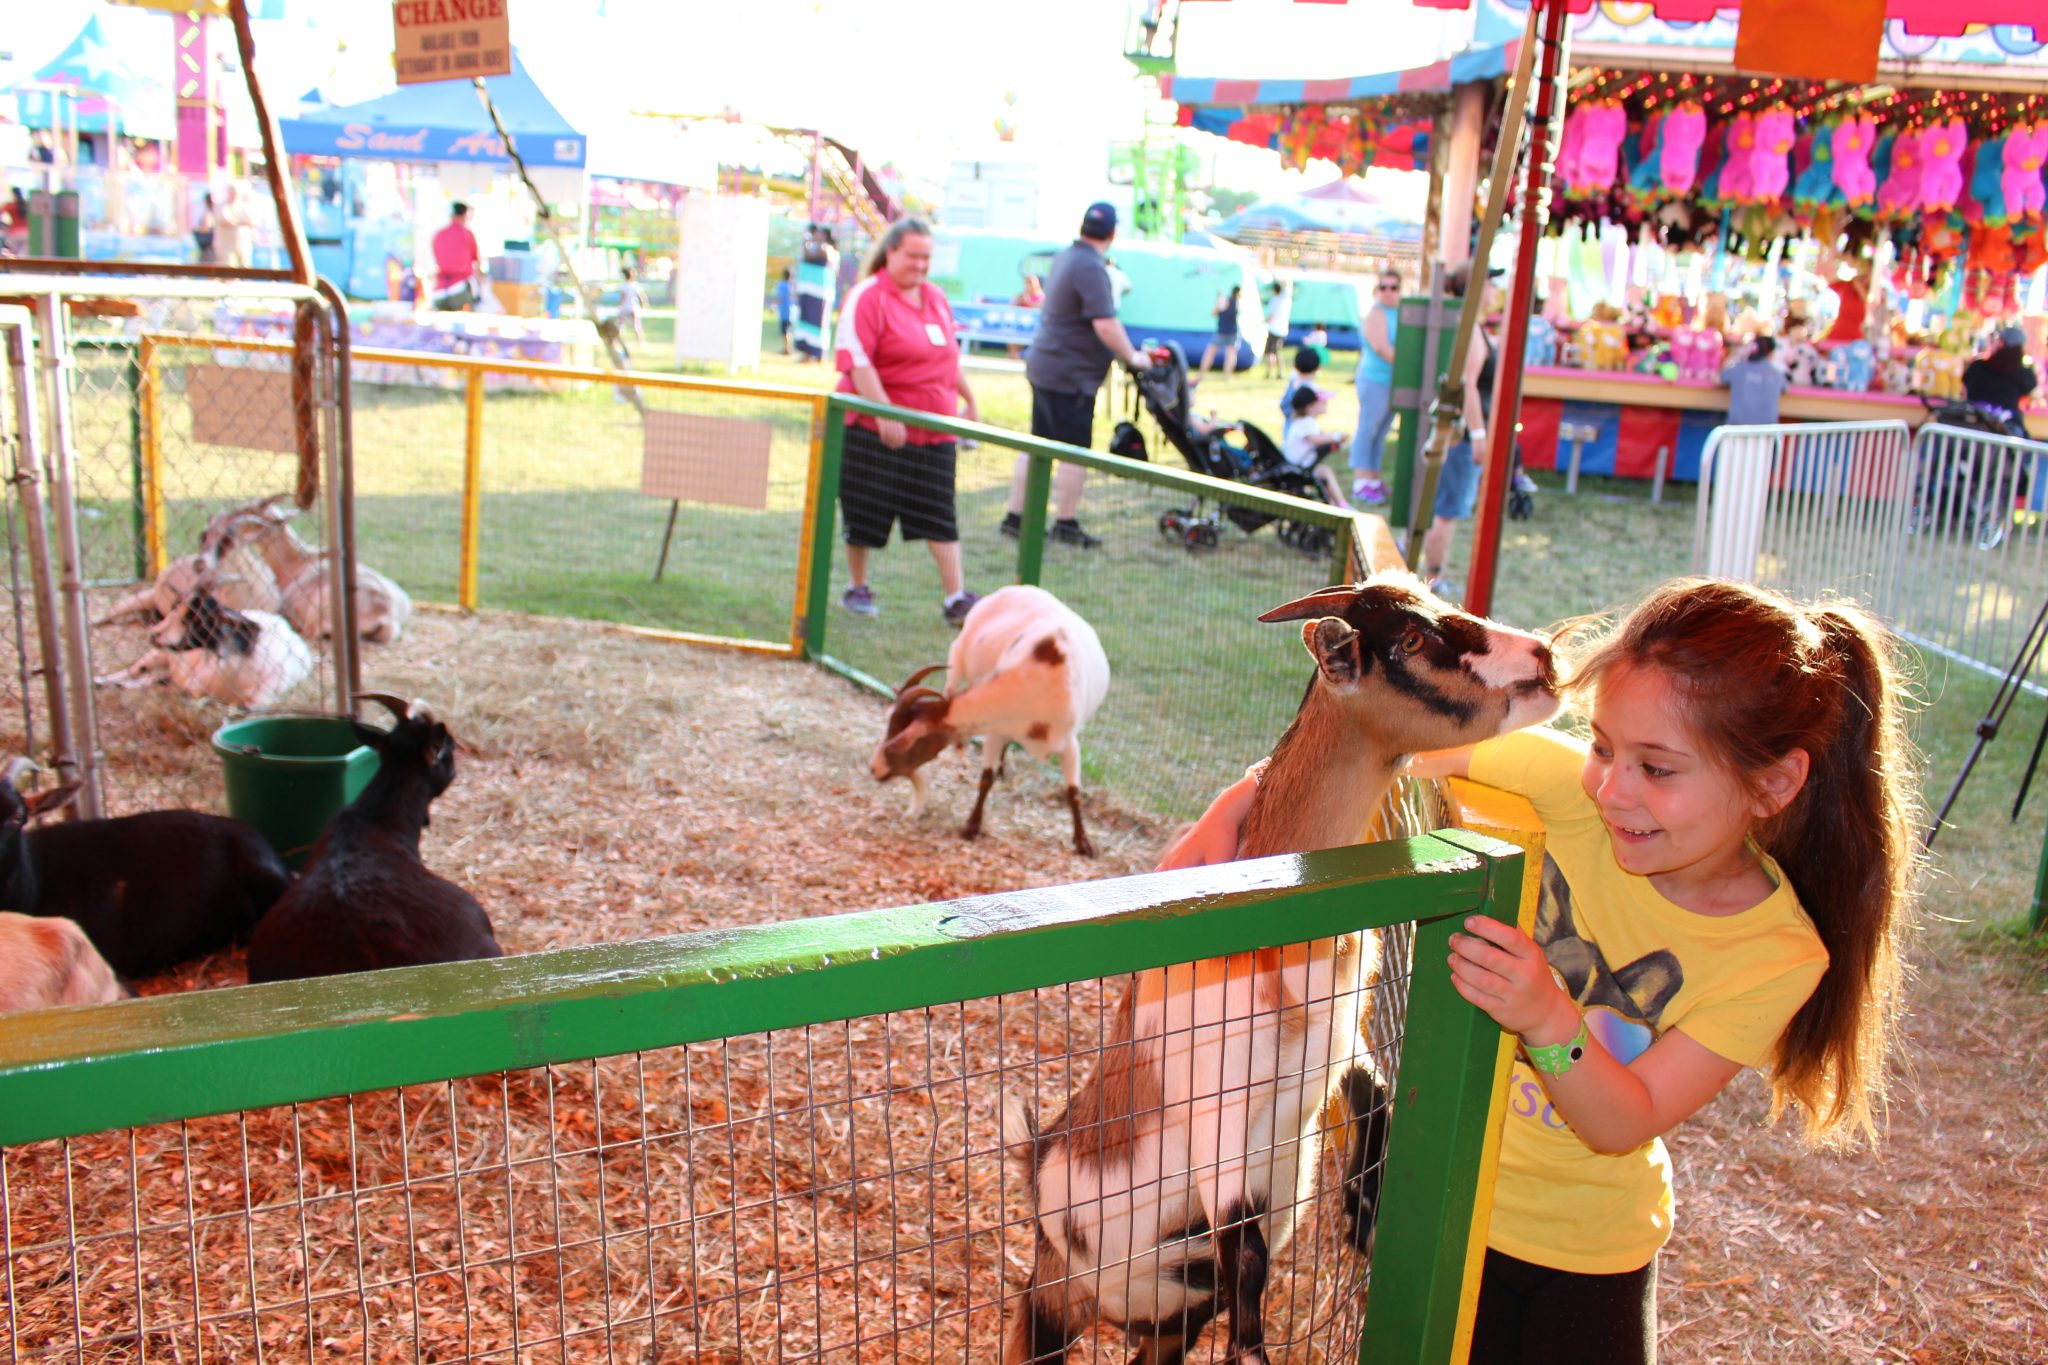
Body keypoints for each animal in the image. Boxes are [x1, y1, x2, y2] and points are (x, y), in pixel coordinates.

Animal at [94, 585, 313, 712]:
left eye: (197, 620)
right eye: (174, 609)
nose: (154, 634)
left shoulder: (258, 702)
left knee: (145, 679)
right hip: (159, 656)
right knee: (134, 671)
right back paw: (99, 681)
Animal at [872, 585, 1114, 855]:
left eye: (905, 741)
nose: (874, 768)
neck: (1037, 681)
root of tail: (1015, 588)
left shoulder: (1070, 743)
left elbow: (1073, 792)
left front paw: (1084, 844)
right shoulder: (995, 731)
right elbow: (985, 779)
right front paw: (971, 827)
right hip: (957, 658)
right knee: (951, 690)